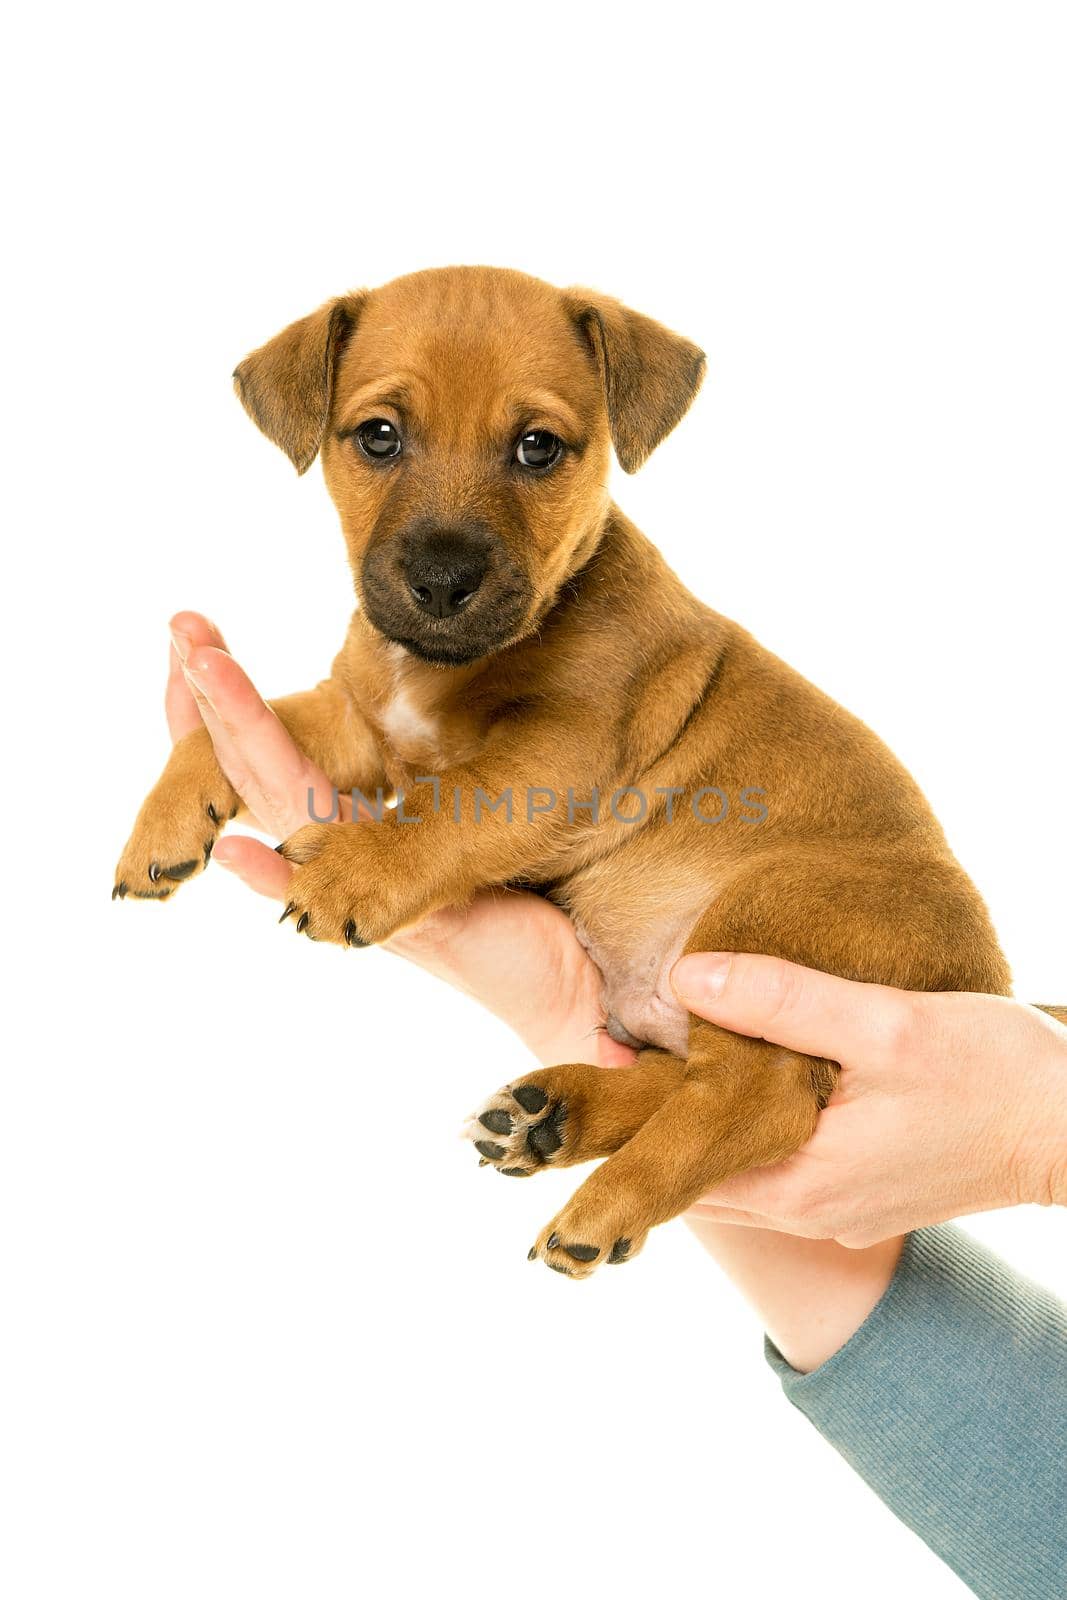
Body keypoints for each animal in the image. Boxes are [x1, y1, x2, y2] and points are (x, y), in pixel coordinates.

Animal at [112, 272, 1023, 1273]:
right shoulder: (356, 723)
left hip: (773, 908)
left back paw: (602, 1202)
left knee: (760, 1096)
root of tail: (987, 983)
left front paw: (355, 873)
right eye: (378, 436)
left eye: (537, 447)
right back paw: (554, 1117)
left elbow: (449, 804)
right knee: (692, 1077)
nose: (441, 582)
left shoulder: (563, 748)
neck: (436, 669)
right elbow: (224, 727)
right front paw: (162, 828)